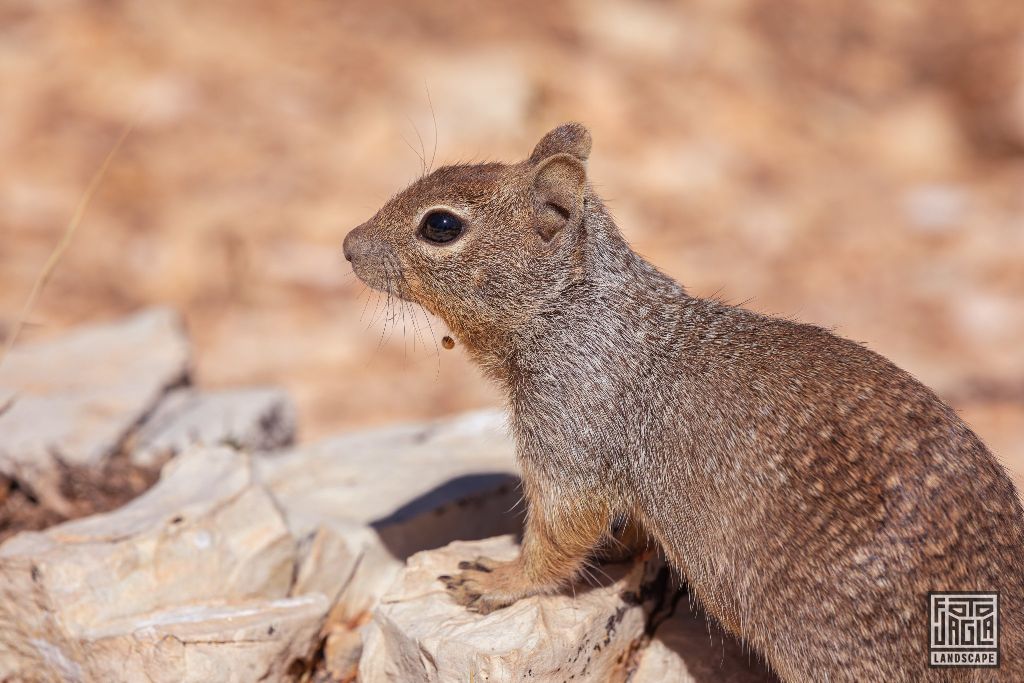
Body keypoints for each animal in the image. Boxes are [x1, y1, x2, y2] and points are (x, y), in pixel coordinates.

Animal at [343, 123, 1024, 681]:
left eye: (441, 225)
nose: (348, 244)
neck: (577, 311)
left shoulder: (568, 431)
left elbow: (560, 534)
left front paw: (496, 580)